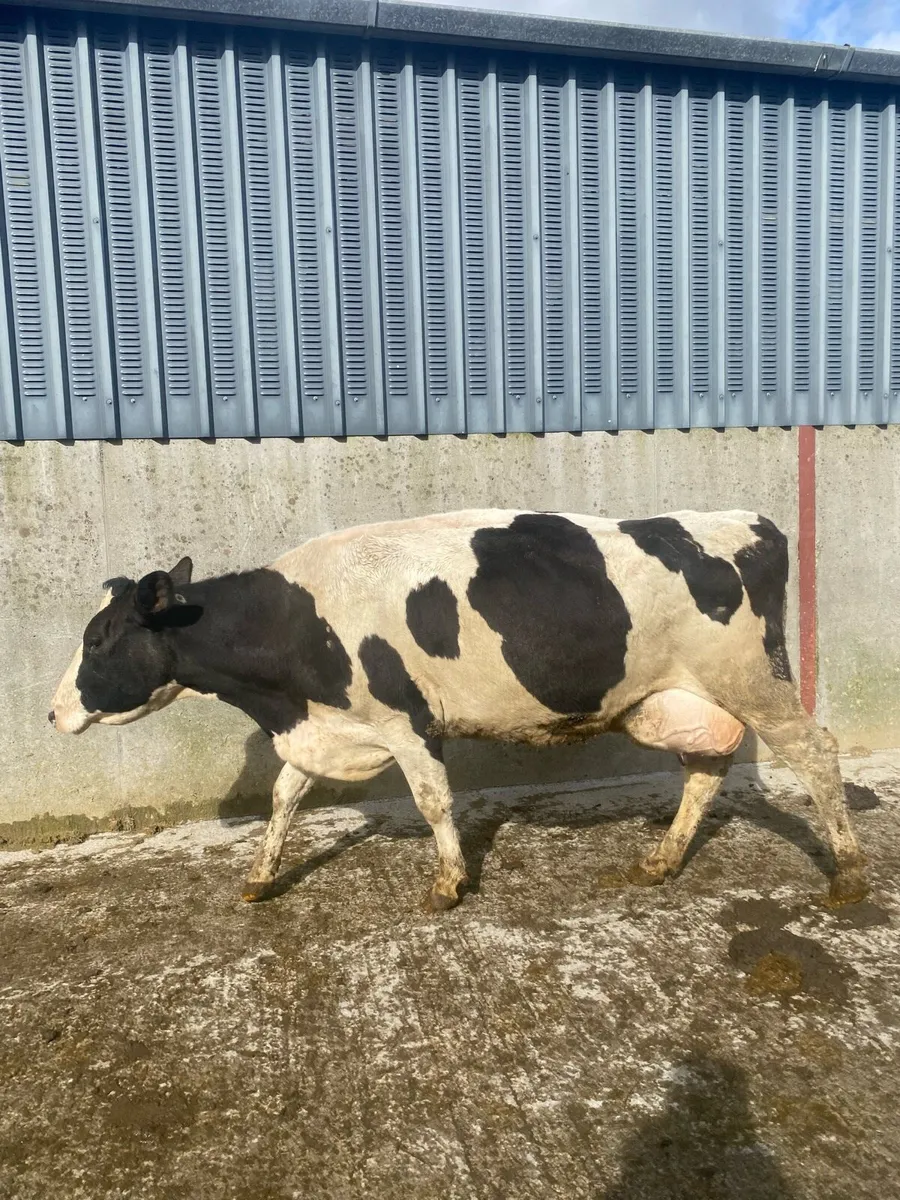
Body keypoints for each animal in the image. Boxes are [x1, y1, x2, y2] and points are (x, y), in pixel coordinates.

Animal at [50, 509, 867, 911]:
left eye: (98, 637)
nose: (53, 714)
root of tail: (749, 520)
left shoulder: (404, 722)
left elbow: (435, 802)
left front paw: (448, 885)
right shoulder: (322, 726)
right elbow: (283, 799)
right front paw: (258, 877)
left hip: (753, 680)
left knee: (816, 751)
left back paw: (849, 875)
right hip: (672, 697)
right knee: (707, 765)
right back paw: (660, 861)